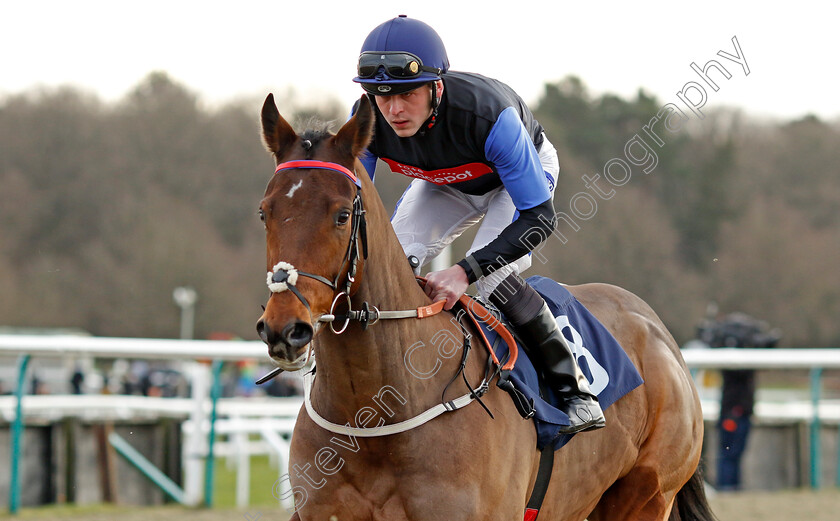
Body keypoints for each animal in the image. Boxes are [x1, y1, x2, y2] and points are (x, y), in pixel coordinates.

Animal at [256, 94, 716, 520]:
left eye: (341, 215)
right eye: (265, 212)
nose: (285, 329)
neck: (376, 415)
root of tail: (658, 331)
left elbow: (535, 217)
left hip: (646, 495)